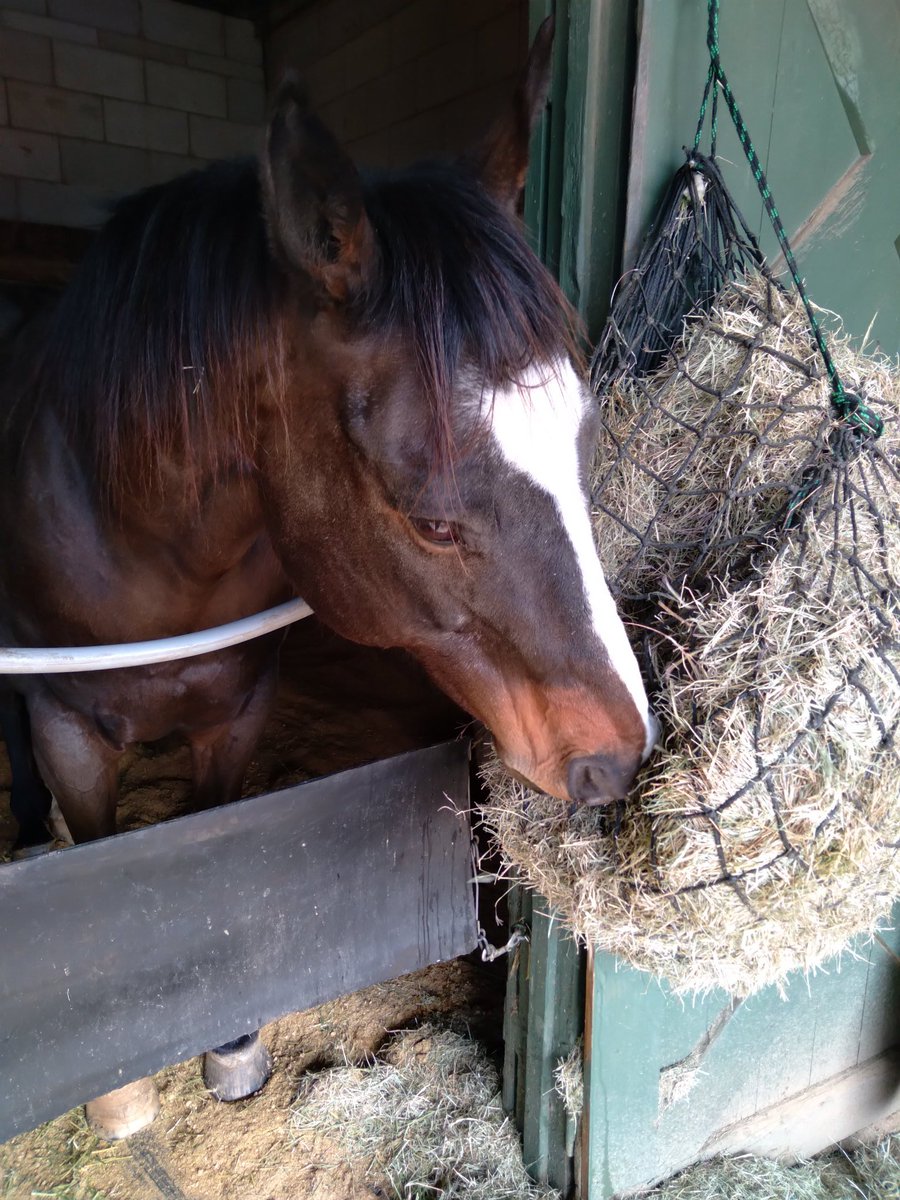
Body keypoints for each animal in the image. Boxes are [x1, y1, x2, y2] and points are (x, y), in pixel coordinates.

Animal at [0, 20, 656, 1134]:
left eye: (583, 445)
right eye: (432, 521)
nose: (618, 760)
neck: (141, 544)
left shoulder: (237, 712)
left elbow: (215, 851)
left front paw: (229, 1043)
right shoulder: (67, 730)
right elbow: (94, 862)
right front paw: (119, 1096)